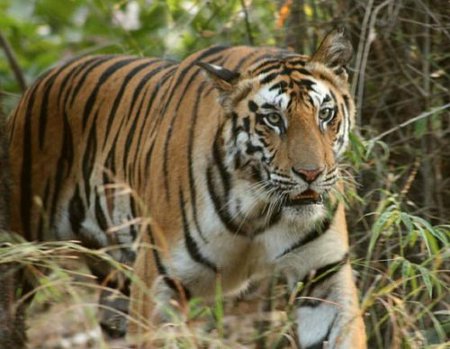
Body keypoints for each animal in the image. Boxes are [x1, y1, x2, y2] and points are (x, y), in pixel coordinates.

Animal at [8, 28, 366, 346]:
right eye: (273, 119)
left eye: (325, 114)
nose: (311, 173)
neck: (258, 206)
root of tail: (36, 85)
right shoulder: (159, 282)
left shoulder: (324, 274)